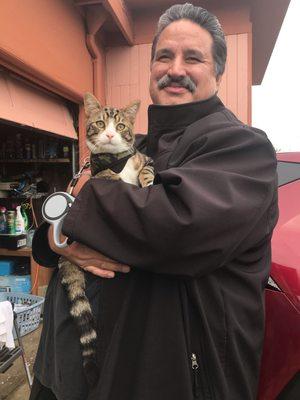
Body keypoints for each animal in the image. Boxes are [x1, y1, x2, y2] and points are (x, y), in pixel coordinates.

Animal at [58, 92, 155, 386]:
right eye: (100, 123)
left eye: (121, 126)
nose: (111, 134)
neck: (116, 161)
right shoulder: (98, 178)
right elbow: (111, 182)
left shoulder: (145, 159)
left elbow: (146, 170)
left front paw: (148, 183)